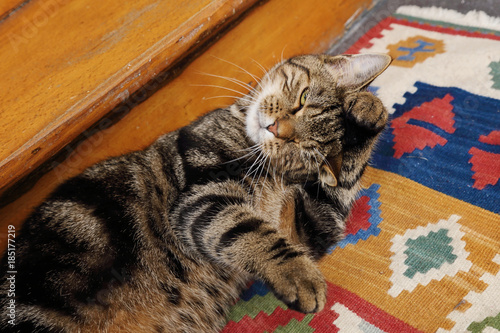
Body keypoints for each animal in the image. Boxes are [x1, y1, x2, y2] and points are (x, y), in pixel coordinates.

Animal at [0, 53, 390, 330]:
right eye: (303, 97)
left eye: (305, 148)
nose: (277, 129)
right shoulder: (201, 196)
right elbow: (253, 233)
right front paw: (300, 276)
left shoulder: (306, 227)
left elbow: (338, 189)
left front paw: (365, 116)